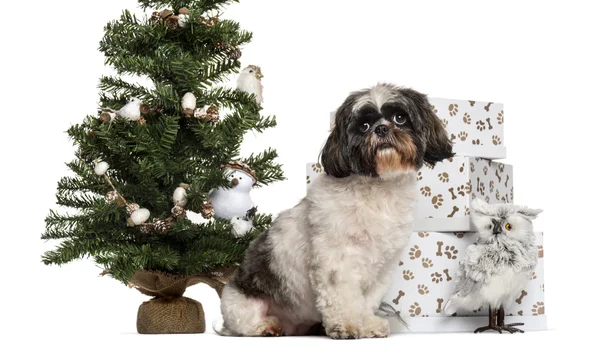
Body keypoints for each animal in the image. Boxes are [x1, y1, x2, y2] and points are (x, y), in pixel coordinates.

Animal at [218, 82, 452, 338]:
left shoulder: (382, 267)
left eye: (400, 118)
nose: (381, 129)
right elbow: (342, 296)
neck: (378, 190)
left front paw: (367, 324)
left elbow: (366, 301)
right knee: (244, 322)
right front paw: (347, 325)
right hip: (241, 301)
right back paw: (265, 327)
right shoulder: (336, 259)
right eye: (364, 126)